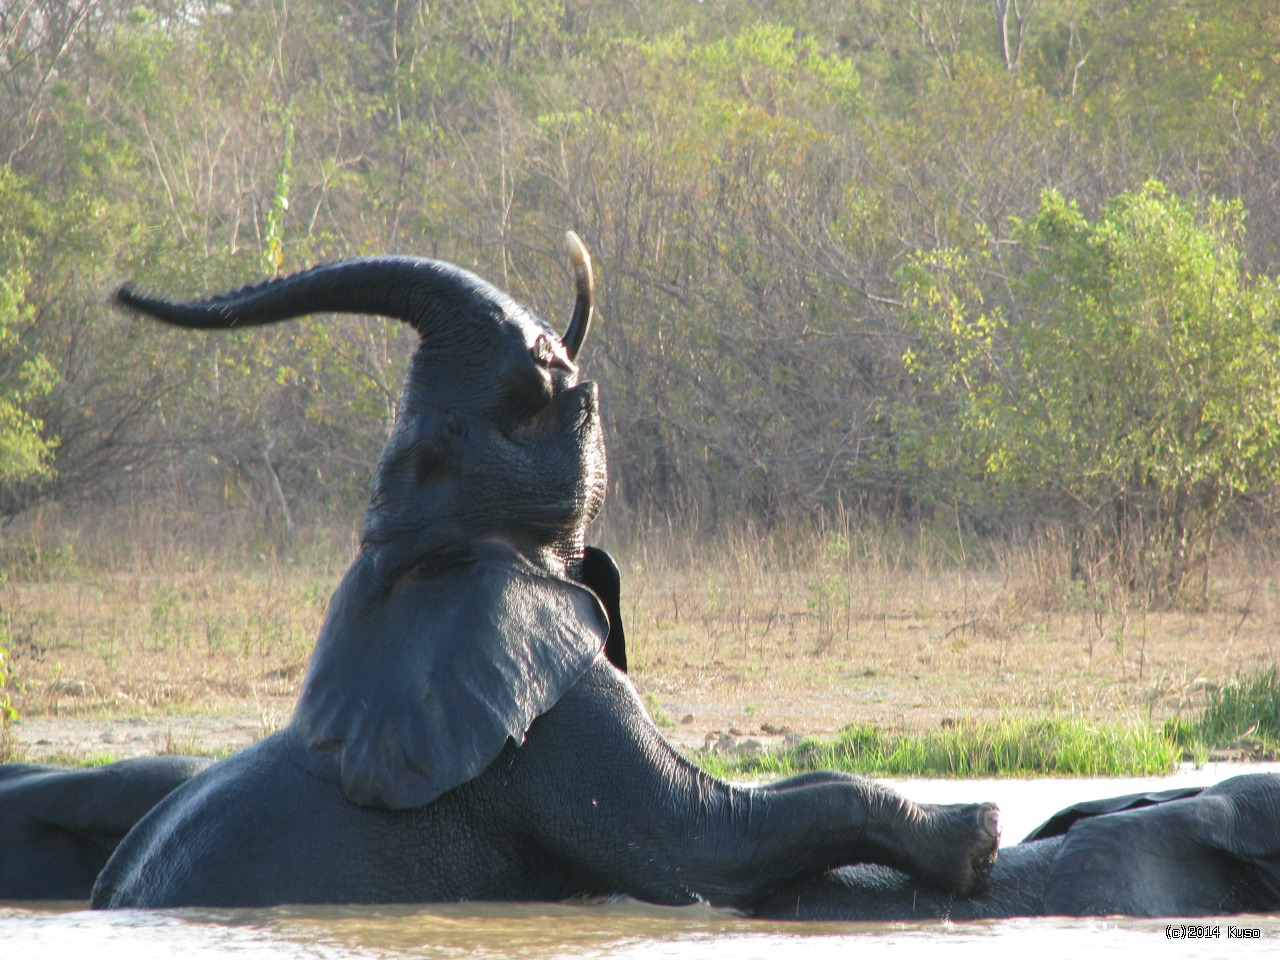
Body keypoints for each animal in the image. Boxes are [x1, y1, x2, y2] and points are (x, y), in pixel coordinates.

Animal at [82, 239, 998, 911]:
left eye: (430, 444)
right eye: (500, 409)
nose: (120, 291)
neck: (415, 561)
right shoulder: (554, 722)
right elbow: (706, 844)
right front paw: (978, 834)